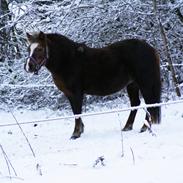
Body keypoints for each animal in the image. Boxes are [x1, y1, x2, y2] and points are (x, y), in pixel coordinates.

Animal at [25, 31, 161, 139]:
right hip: (132, 85)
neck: (68, 59)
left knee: (150, 103)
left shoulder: (76, 93)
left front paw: (75, 134)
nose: (29, 67)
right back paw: (127, 127)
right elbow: (75, 112)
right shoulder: (69, 94)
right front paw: (80, 130)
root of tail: (150, 48)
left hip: (145, 83)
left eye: (39, 49)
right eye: (29, 49)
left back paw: (144, 127)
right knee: (135, 103)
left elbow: (77, 112)